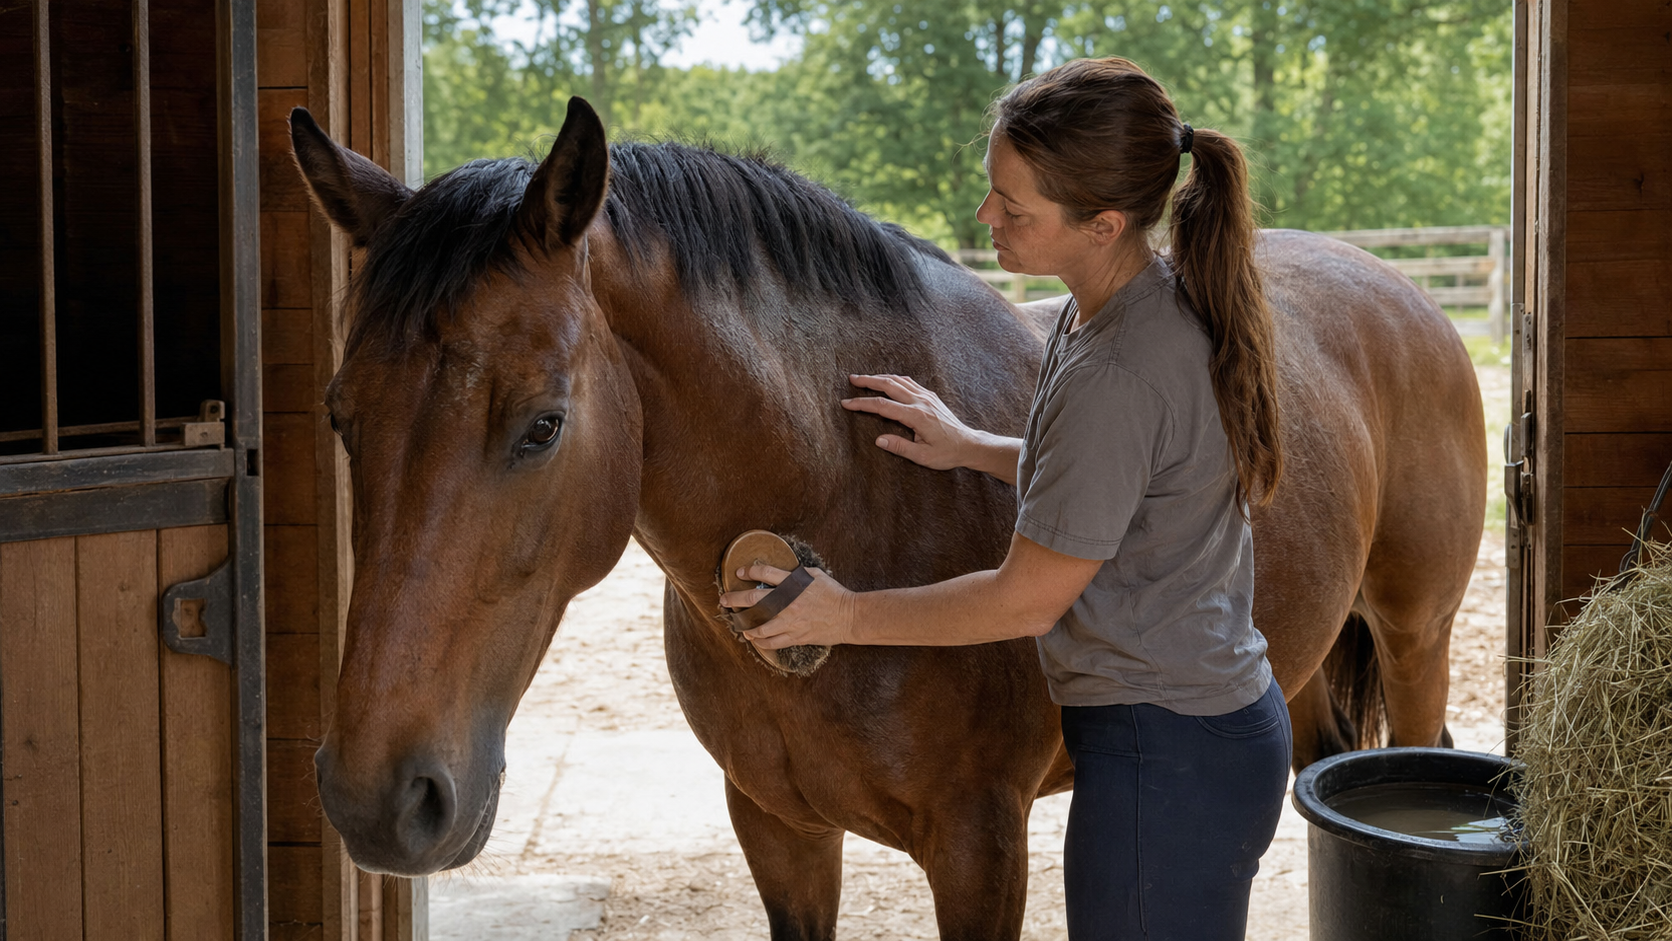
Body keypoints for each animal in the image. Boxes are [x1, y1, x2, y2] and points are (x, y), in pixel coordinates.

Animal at [290, 97, 1485, 939]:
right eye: (341, 416)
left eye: (541, 425)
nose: (379, 799)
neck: (849, 489)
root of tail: (1400, 289)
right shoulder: (778, 829)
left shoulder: (979, 847)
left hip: (1415, 637)